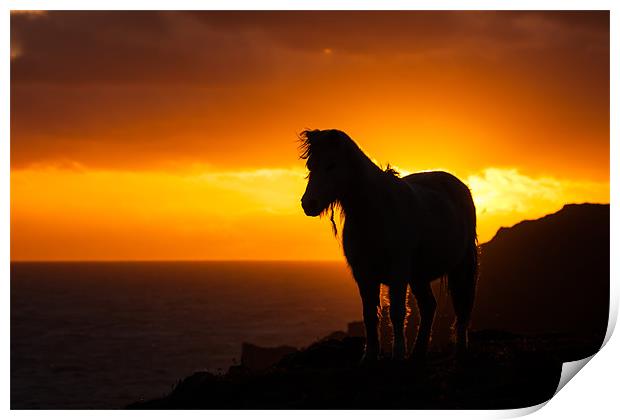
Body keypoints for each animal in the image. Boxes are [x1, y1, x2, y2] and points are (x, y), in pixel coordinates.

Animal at [300, 128, 480, 360]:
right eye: (310, 165)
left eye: (331, 165)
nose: (308, 204)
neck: (375, 212)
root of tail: (459, 185)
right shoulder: (364, 275)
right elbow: (370, 315)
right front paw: (370, 354)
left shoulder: (398, 273)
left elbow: (396, 312)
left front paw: (398, 353)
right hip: (418, 276)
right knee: (429, 306)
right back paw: (418, 351)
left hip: (461, 266)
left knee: (462, 305)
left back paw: (460, 349)